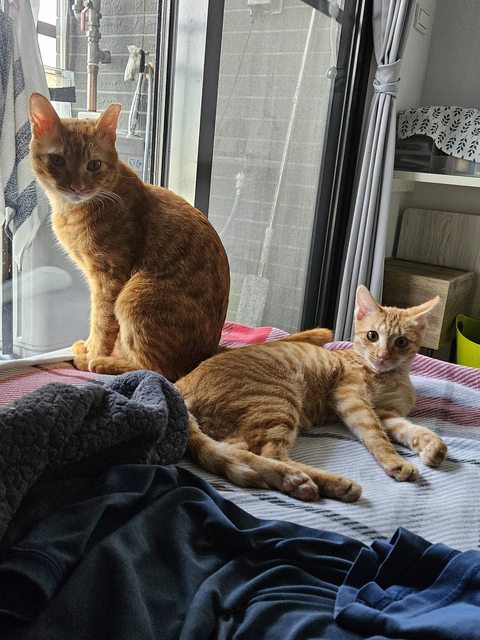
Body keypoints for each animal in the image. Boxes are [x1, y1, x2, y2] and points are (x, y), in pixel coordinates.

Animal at [28, 92, 230, 381]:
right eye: (57, 160)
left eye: (94, 165)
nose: (77, 187)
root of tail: (203, 356)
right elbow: (96, 319)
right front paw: (88, 347)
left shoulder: (109, 277)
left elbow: (102, 322)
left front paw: (92, 354)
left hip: (134, 297)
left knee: (160, 371)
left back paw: (106, 363)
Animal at [175, 285, 447, 502]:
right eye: (372, 336)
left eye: (401, 342)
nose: (382, 356)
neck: (388, 377)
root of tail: (179, 384)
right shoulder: (352, 399)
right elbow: (376, 435)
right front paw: (395, 462)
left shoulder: (387, 413)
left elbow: (410, 429)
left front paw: (431, 446)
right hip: (277, 400)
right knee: (271, 454)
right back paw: (315, 482)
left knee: (239, 452)